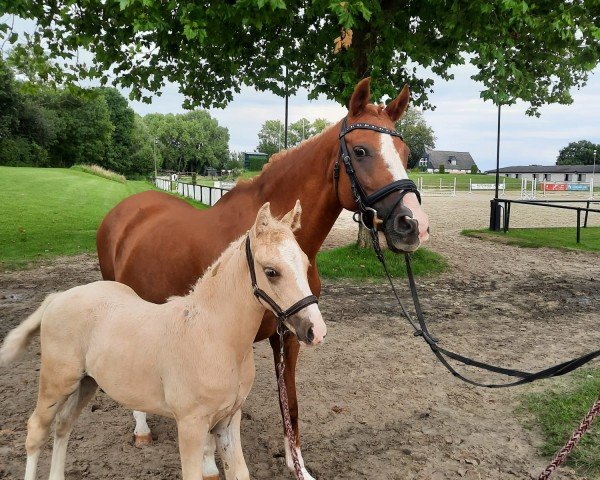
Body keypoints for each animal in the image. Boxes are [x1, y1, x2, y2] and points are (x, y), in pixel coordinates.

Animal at [0, 201, 326, 478]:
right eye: (271, 271)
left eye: (306, 264)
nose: (316, 331)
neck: (214, 336)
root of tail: (57, 297)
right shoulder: (191, 425)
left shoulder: (228, 421)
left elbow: (240, 472)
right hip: (56, 382)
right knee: (36, 431)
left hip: (87, 382)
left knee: (63, 427)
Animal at [96, 77, 428, 478]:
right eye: (361, 150)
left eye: (406, 154)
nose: (413, 225)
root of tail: (126, 210)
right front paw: (208, 461)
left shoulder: (290, 336)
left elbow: (291, 405)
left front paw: (297, 465)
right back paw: (142, 428)